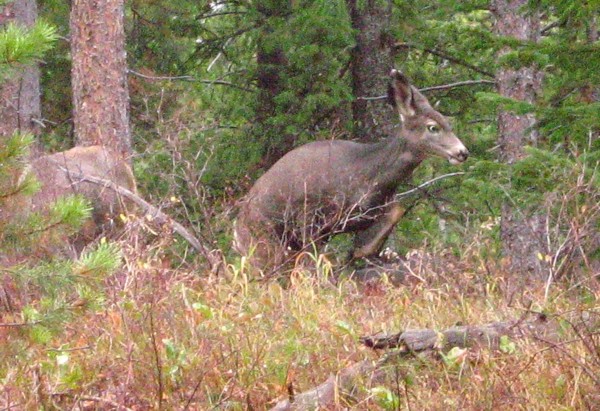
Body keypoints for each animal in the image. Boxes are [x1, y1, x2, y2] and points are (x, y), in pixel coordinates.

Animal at [234, 71, 468, 276]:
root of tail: (236, 229)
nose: (463, 152)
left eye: (449, 123)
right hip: (261, 240)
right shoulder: (309, 216)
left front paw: (360, 253)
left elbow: (397, 211)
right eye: (433, 127)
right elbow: (310, 262)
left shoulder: (369, 212)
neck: (368, 175)